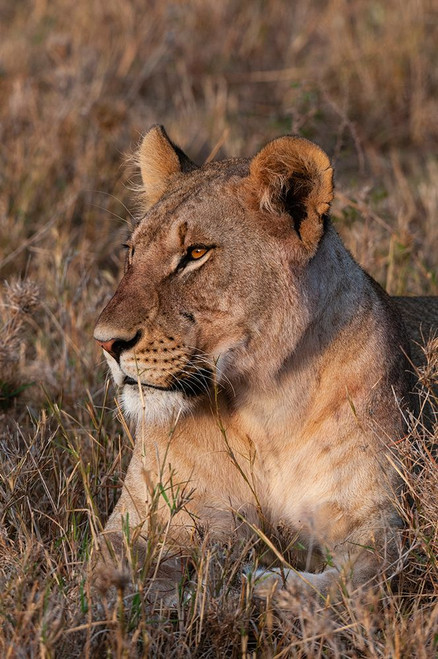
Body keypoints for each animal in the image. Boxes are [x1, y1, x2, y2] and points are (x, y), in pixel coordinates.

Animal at [93, 125, 437, 603]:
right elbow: (107, 574)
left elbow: (344, 588)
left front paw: (251, 582)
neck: (263, 411)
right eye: (131, 251)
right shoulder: (137, 519)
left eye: (195, 253)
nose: (106, 342)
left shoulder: (380, 534)